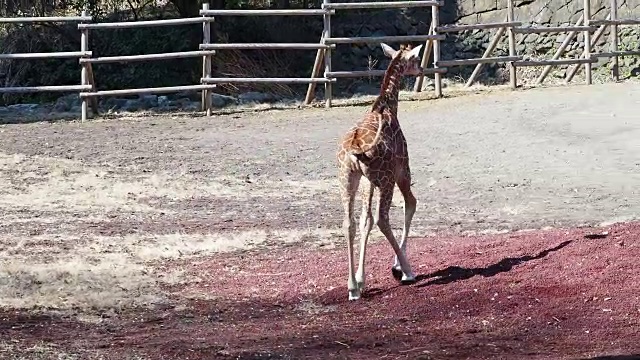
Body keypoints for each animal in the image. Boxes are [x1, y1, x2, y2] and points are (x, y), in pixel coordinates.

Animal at [338, 42, 422, 300]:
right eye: (415, 60)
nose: (422, 69)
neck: (388, 107)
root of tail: (355, 149)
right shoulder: (402, 168)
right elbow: (410, 204)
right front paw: (397, 267)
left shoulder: (368, 182)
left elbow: (365, 220)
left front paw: (361, 279)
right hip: (388, 180)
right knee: (384, 218)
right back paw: (408, 271)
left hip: (347, 180)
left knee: (349, 222)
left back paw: (352, 288)